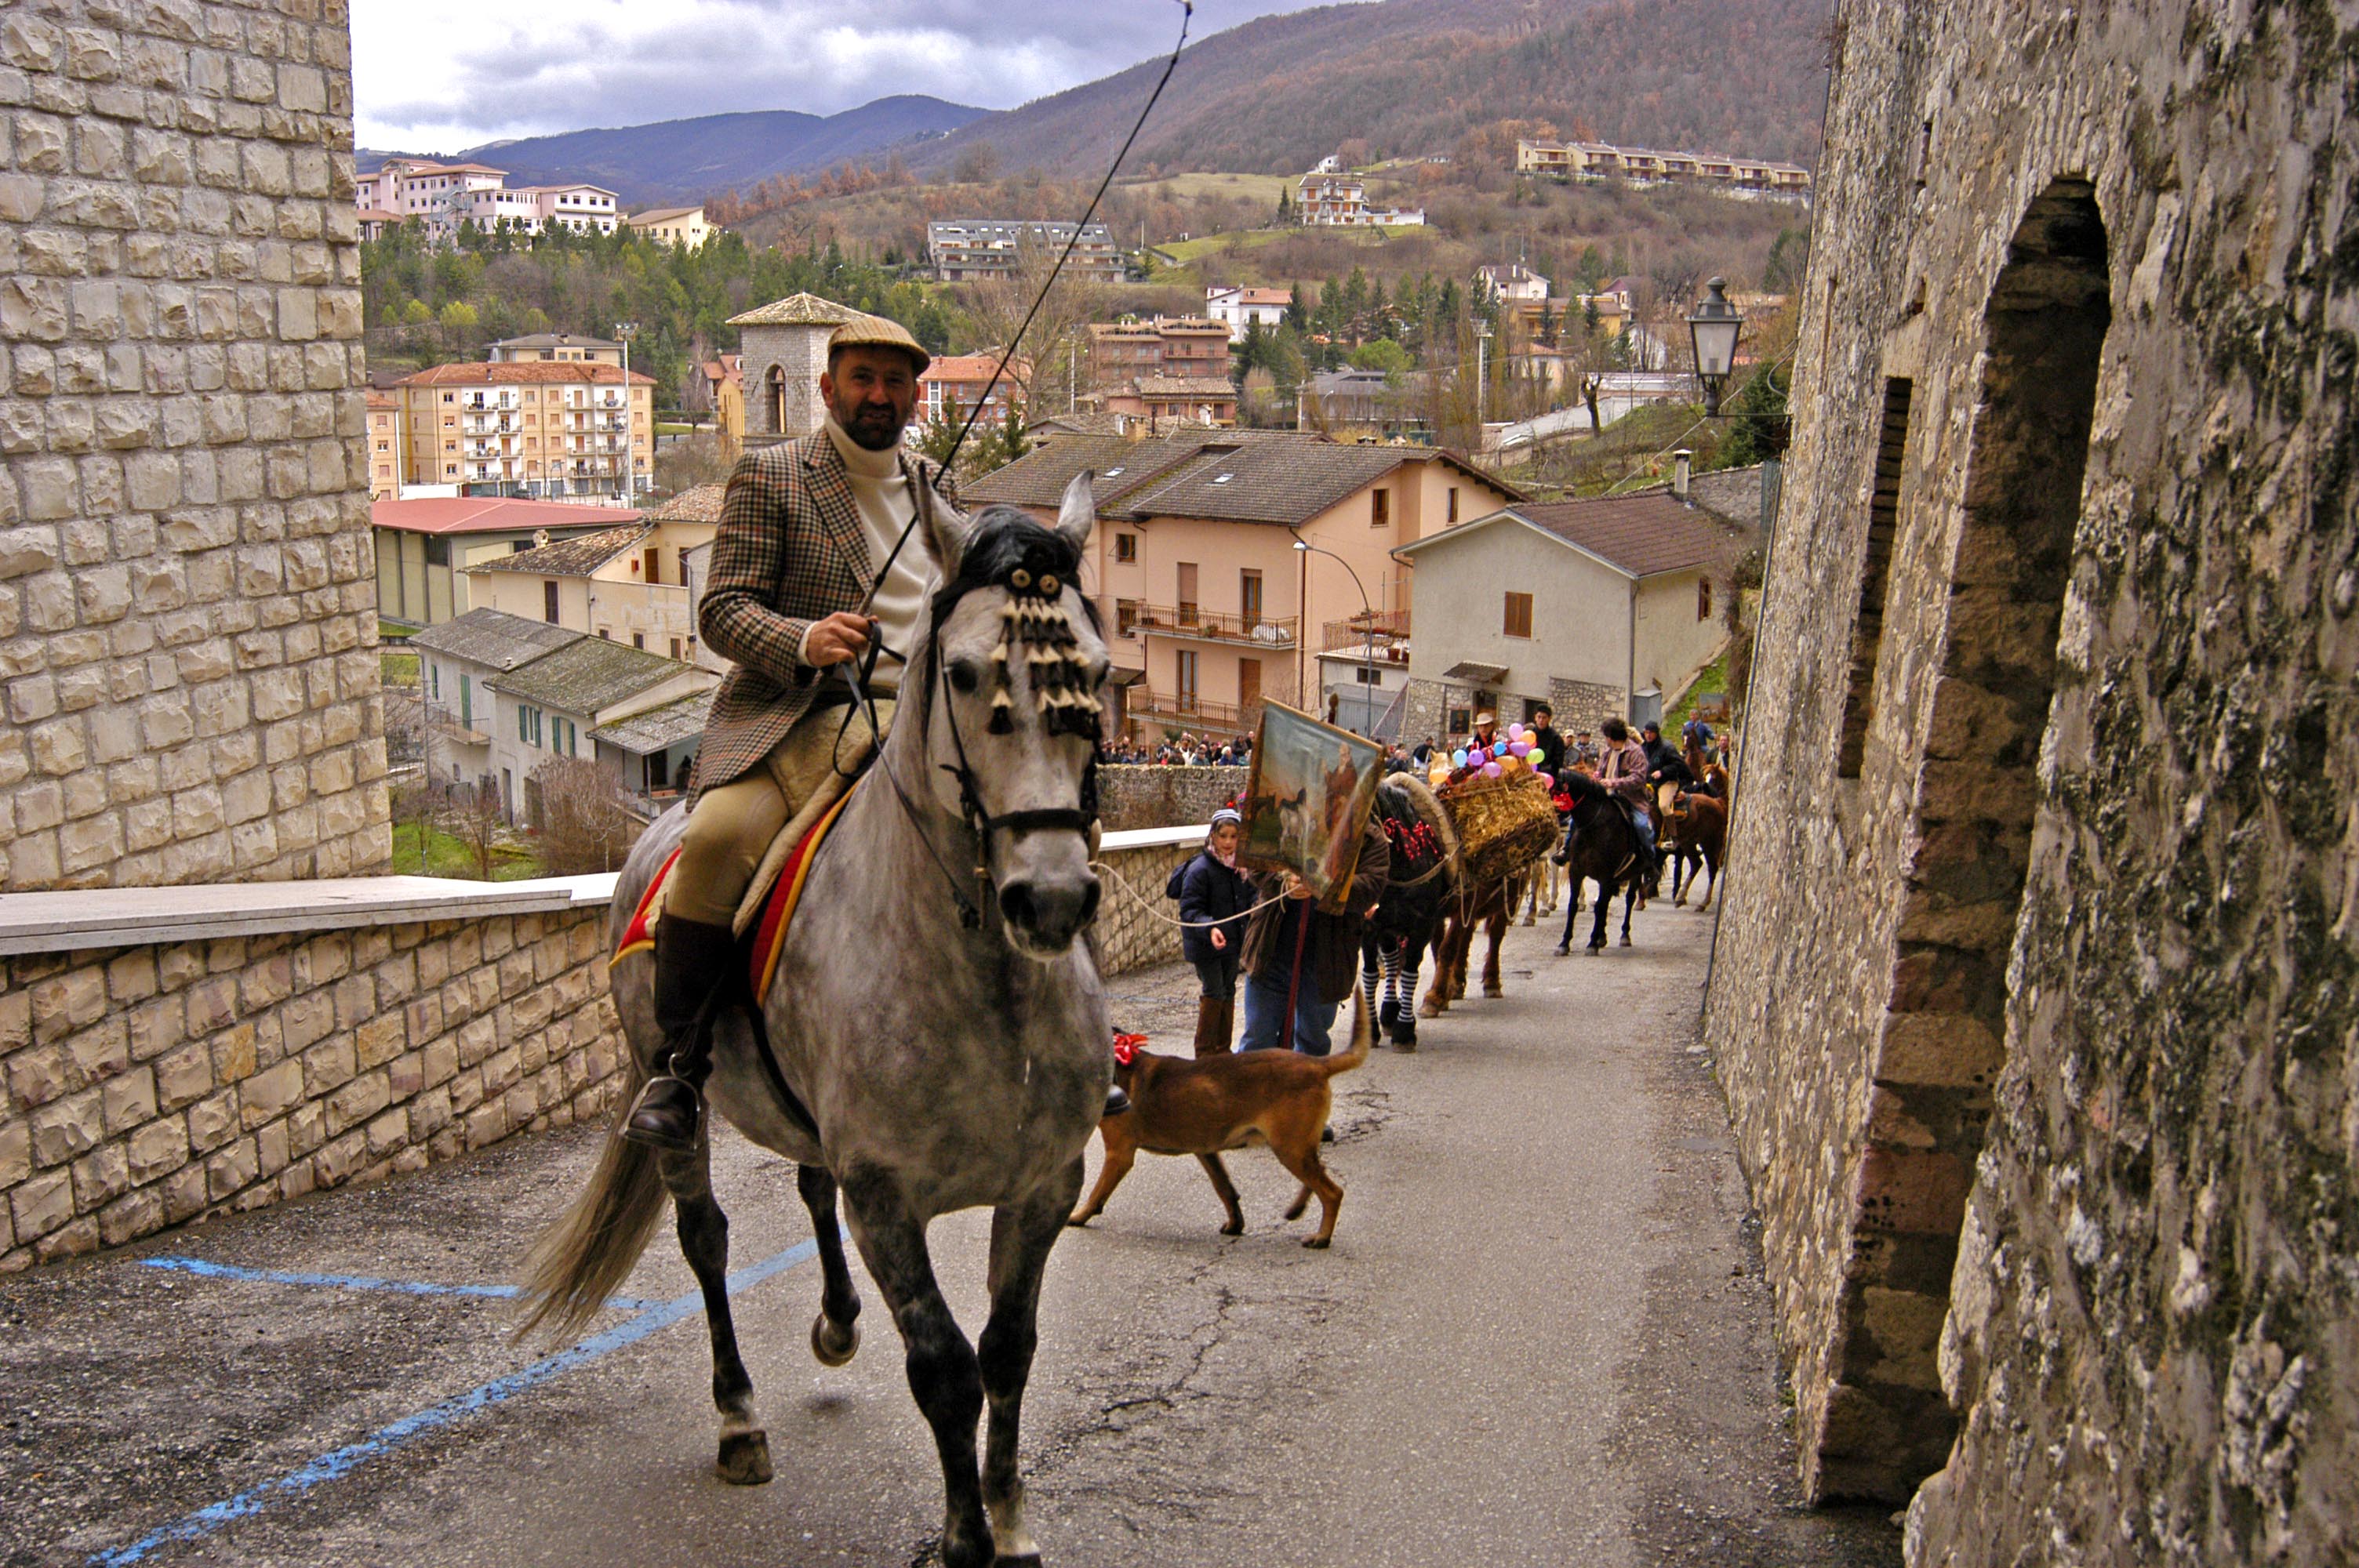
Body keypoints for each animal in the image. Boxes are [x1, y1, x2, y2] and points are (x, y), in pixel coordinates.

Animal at [521, 474, 1108, 1565]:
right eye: (963, 673)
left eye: (1097, 671)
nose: (1049, 899)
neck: (985, 983)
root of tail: (652, 841)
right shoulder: (888, 1200)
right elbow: (946, 1368)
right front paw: (964, 1537)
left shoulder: (1044, 1184)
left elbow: (1008, 1352)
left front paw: (1008, 1521)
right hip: (678, 1100)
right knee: (706, 1238)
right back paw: (738, 1418)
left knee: (806, 1179)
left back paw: (834, 1321)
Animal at [1066, 995, 1377, 1244]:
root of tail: (1316, 1064)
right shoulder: (1206, 1151)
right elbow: (1225, 1189)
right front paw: (1235, 1224)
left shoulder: (1119, 1154)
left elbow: (1096, 1193)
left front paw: (1079, 1215)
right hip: (1298, 1147)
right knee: (1318, 1175)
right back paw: (1297, 1209)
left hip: (1290, 1148)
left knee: (1332, 1192)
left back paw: (1322, 1237)